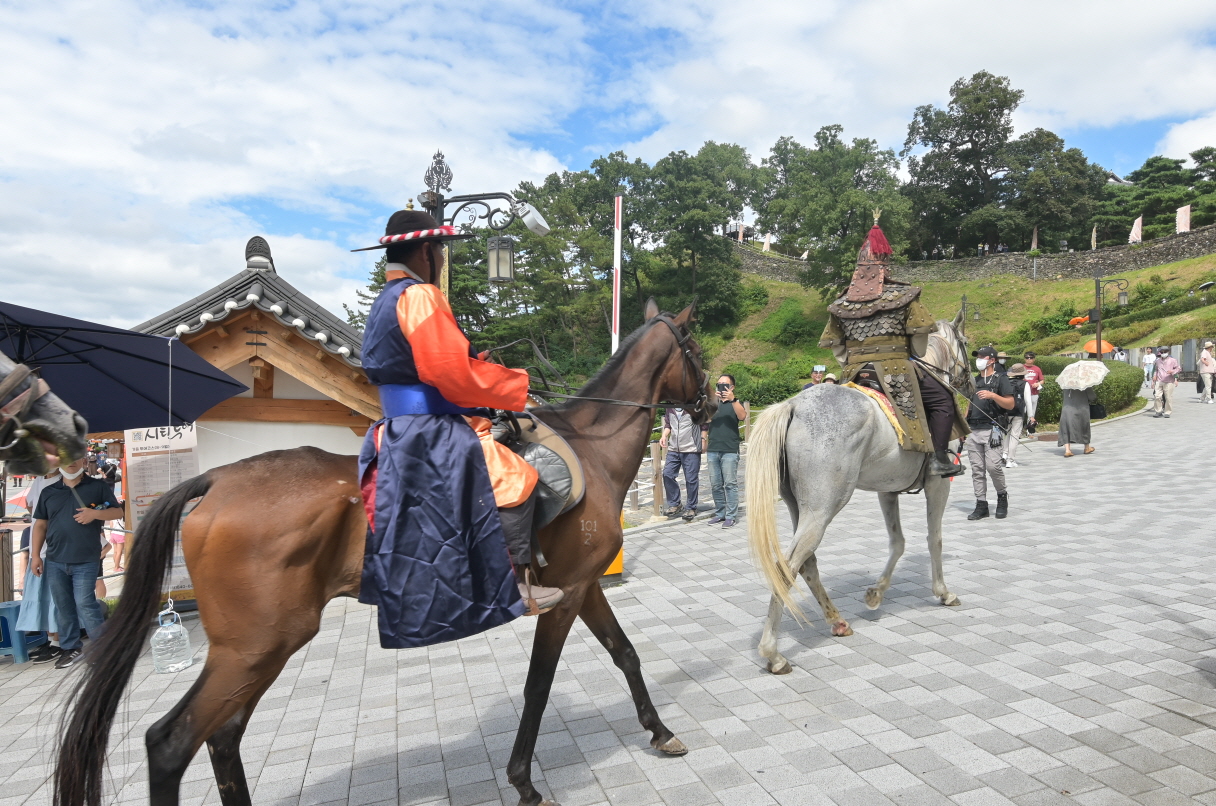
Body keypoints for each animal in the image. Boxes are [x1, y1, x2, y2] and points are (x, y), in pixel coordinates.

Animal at [54, 300, 710, 806]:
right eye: (697, 352)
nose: (707, 402)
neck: (592, 450)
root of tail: (216, 480)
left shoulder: (585, 586)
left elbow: (626, 654)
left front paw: (659, 732)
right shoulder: (566, 593)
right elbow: (538, 687)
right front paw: (524, 782)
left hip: (258, 650)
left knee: (224, 735)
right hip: (256, 645)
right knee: (173, 743)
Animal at [745, 314, 973, 675]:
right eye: (966, 344)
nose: (972, 382)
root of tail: (792, 405)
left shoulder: (888, 489)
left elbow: (898, 542)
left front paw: (876, 593)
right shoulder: (940, 484)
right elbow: (933, 538)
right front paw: (943, 592)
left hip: (801, 506)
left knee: (806, 562)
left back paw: (837, 621)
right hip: (823, 507)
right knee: (786, 567)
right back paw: (774, 654)